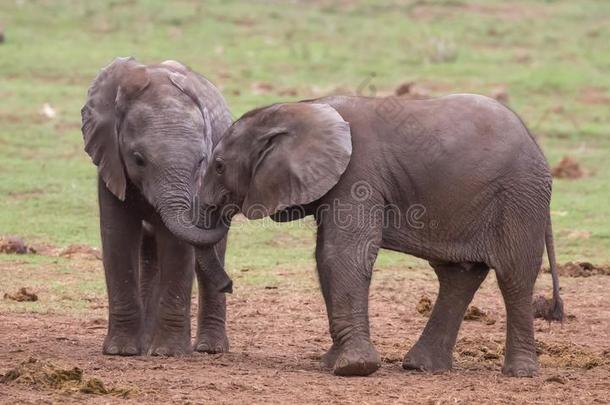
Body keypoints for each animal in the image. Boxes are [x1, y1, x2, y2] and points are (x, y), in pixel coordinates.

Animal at [79, 57, 232, 356]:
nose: (230, 285)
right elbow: (117, 236)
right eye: (138, 159)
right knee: (150, 256)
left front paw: (169, 353)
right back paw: (145, 345)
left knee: (209, 257)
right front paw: (121, 351)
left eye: (202, 161)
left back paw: (209, 349)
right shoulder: (110, 161)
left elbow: (178, 245)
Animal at [188, 93, 564, 378]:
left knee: (514, 276)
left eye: (219, 166)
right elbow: (326, 257)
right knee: (458, 276)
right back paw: (421, 367)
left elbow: (342, 254)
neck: (303, 107)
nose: (230, 284)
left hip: (519, 198)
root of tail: (537, 147)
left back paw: (519, 373)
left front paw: (353, 368)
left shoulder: (359, 174)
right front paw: (331, 363)